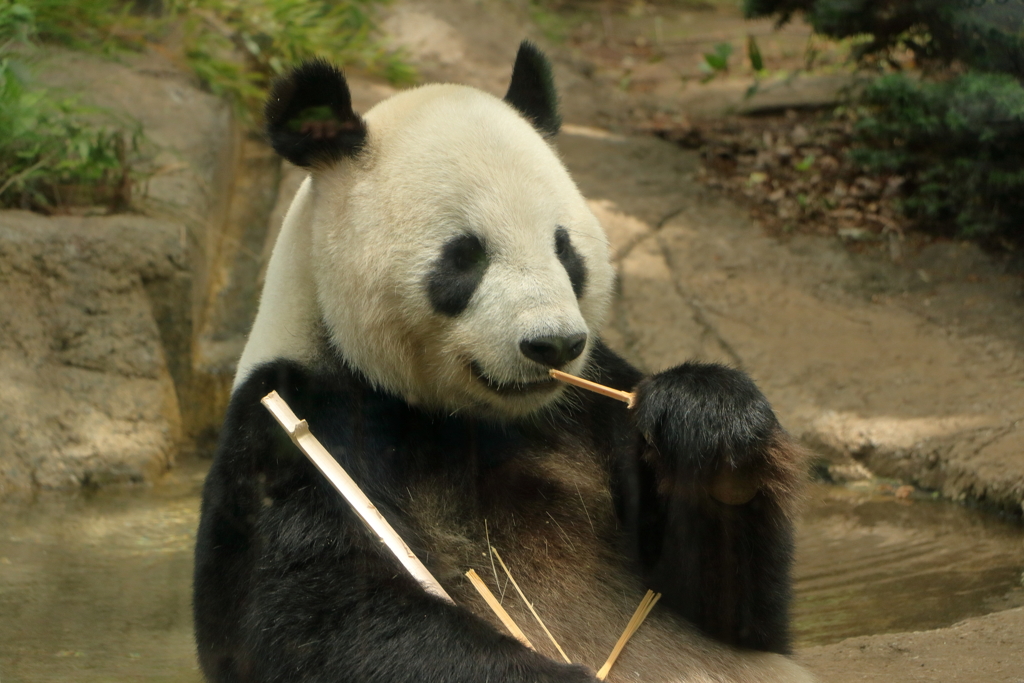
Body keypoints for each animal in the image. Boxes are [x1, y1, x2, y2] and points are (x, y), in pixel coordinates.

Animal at [192, 42, 815, 683]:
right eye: (465, 256)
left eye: (565, 250)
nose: (554, 345)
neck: (457, 418)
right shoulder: (297, 428)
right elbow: (319, 617)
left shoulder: (591, 408)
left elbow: (728, 611)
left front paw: (709, 421)